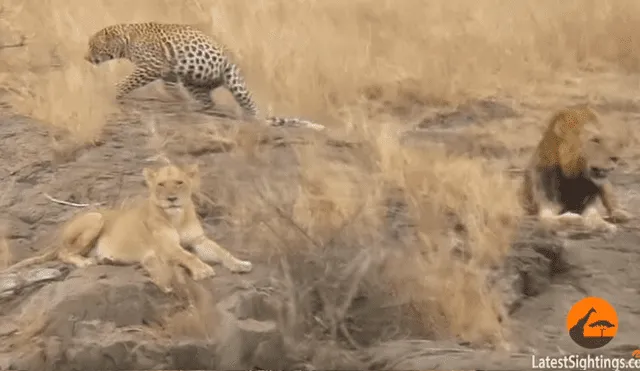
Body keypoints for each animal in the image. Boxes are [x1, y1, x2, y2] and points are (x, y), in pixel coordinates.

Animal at [7, 163, 254, 294]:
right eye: (161, 184)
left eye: (179, 182)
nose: (172, 199)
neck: (176, 216)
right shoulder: (167, 247)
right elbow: (188, 256)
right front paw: (202, 270)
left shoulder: (198, 240)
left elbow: (222, 251)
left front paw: (240, 264)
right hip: (95, 216)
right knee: (64, 253)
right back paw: (87, 261)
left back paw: (106, 258)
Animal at [85, 22, 324, 132]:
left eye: (93, 45)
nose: (86, 58)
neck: (126, 40)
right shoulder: (167, 72)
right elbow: (171, 88)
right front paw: (177, 100)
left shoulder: (150, 67)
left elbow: (126, 82)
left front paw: (114, 91)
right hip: (193, 81)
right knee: (209, 102)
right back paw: (193, 107)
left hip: (233, 78)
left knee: (251, 109)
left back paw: (258, 119)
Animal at [524, 104, 632, 232]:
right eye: (595, 140)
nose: (616, 158)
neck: (573, 177)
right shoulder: (546, 209)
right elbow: (557, 218)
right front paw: (575, 218)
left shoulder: (591, 202)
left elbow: (594, 217)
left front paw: (606, 225)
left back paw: (621, 214)